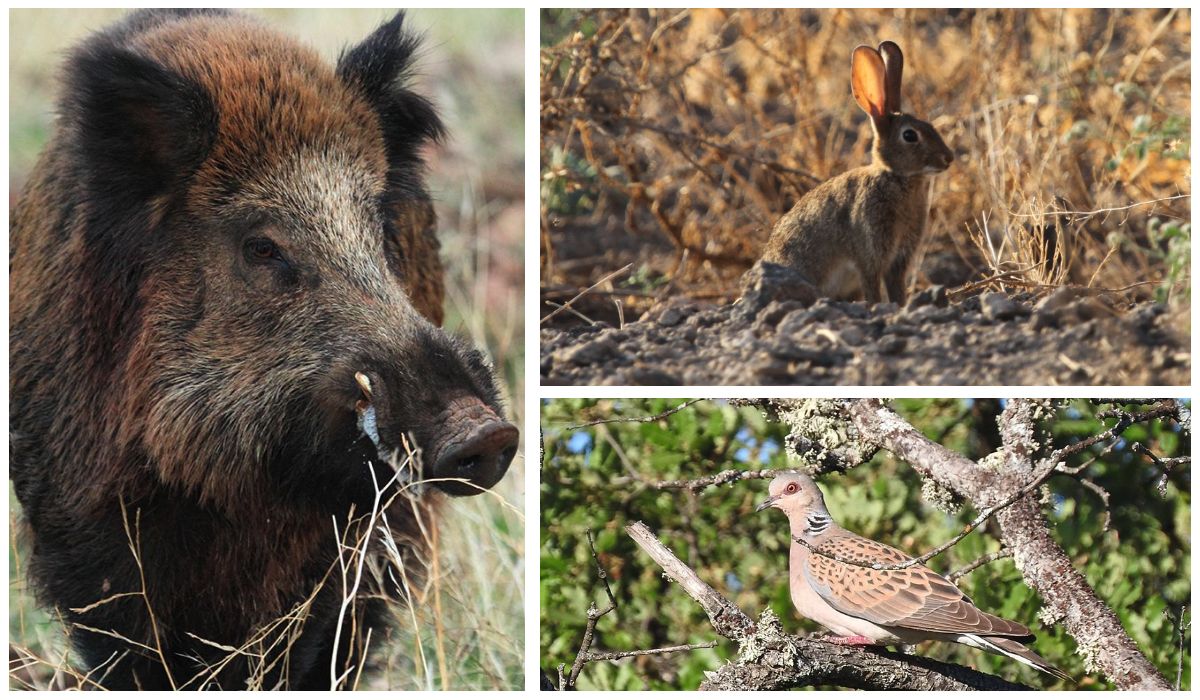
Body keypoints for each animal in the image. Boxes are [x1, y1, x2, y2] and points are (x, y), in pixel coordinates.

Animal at [758, 40, 955, 303]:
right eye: (910, 135)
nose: (948, 158)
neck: (895, 177)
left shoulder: (898, 259)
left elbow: (896, 288)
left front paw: (902, 305)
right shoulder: (870, 252)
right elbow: (872, 286)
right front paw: (878, 306)